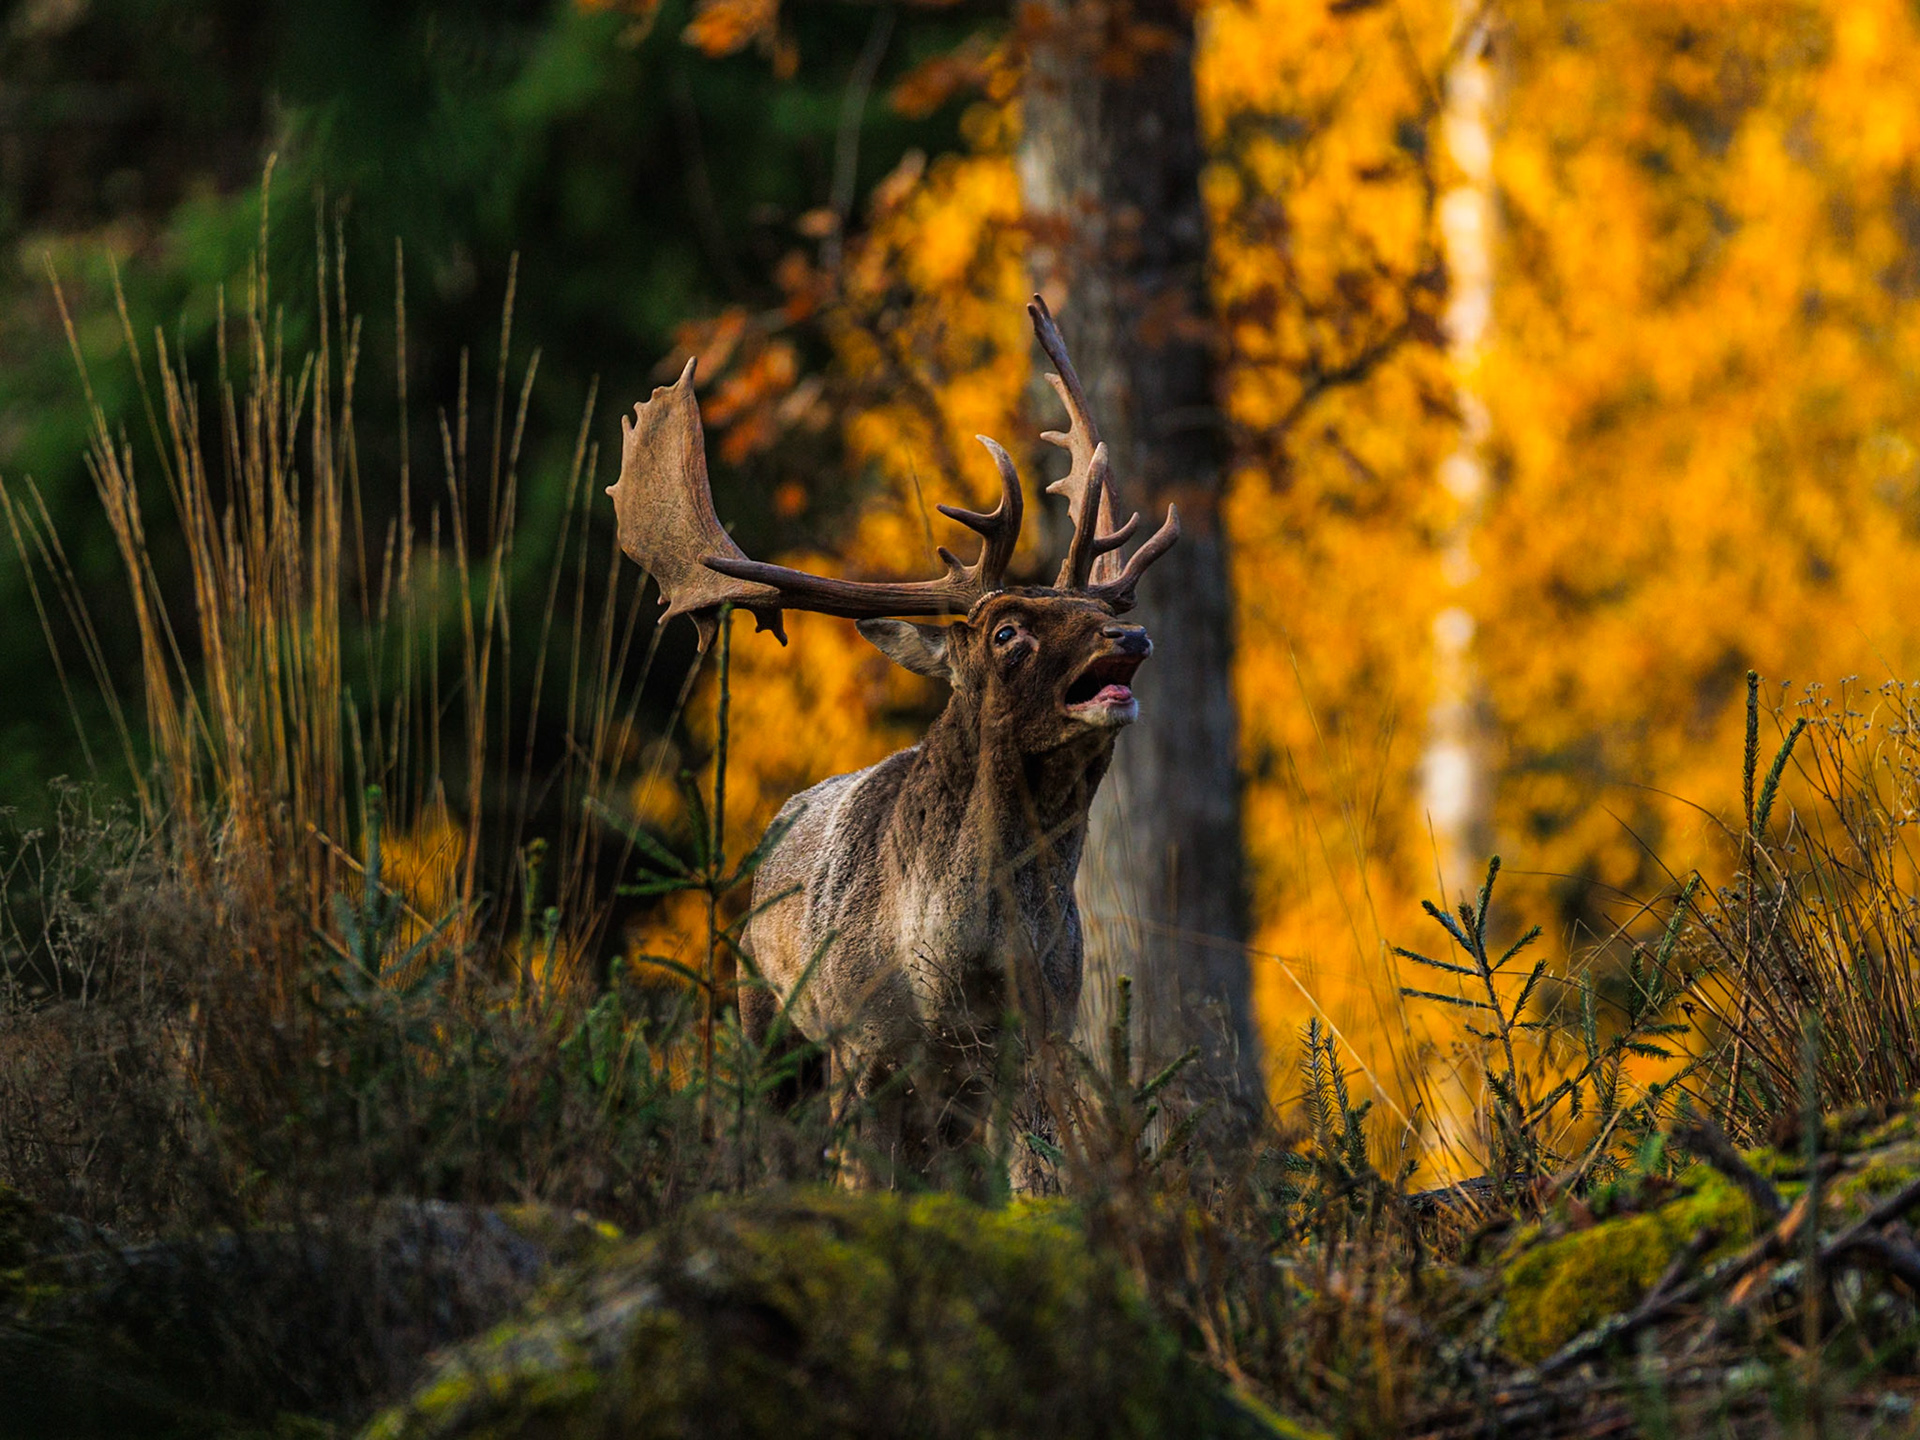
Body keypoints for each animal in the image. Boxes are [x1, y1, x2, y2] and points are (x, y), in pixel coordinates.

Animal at [606, 299, 1177, 1187]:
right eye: (1006, 631)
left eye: (1098, 607)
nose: (1132, 635)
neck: (954, 966)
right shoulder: (860, 1041)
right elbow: (861, 1178)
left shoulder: (1041, 1037)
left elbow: (1035, 1182)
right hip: (761, 1010)